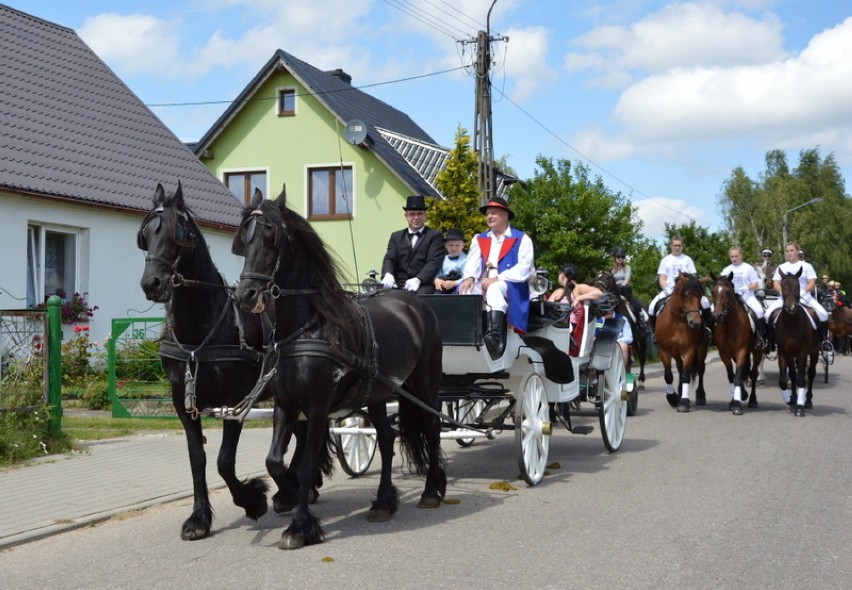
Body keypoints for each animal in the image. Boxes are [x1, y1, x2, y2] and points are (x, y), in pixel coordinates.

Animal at [138, 183, 328, 544]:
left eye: (178, 233)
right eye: (145, 234)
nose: (151, 283)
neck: (201, 331)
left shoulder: (233, 399)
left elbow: (224, 461)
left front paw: (253, 499)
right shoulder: (181, 401)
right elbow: (197, 458)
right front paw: (199, 518)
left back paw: (295, 489)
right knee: (301, 432)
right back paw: (298, 489)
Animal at [233, 191, 446, 556]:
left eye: (271, 236)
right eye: (244, 238)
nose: (245, 295)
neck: (305, 329)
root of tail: (415, 304)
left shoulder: (318, 407)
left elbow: (305, 466)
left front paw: (300, 526)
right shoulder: (285, 404)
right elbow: (274, 461)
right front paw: (289, 496)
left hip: (424, 386)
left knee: (431, 430)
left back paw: (432, 491)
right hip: (377, 394)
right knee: (386, 439)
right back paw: (383, 503)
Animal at [656, 272, 708, 412]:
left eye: (700, 296)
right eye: (686, 295)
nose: (695, 323)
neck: (677, 320)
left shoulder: (689, 350)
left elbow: (686, 375)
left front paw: (684, 402)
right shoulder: (664, 350)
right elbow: (668, 375)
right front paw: (673, 398)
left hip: (701, 348)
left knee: (700, 369)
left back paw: (700, 396)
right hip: (675, 351)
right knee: (679, 367)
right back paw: (679, 393)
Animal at [708, 274, 764, 416]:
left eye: (728, 292)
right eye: (712, 291)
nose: (717, 316)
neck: (729, 324)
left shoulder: (741, 351)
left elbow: (738, 377)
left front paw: (737, 405)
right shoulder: (724, 354)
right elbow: (732, 377)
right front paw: (734, 401)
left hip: (756, 352)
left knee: (753, 374)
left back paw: (753, 401)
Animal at [768, 270, 824, 418]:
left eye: (798, 286)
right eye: (782, 286)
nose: (791, 308)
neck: (791, 325)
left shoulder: (802, 353)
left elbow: (801, 379)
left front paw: (799, 407)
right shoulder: (784, 353)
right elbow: (785, 380)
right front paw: (790, 401)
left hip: (814, 352)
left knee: (810, 374)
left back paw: (807, 401)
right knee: (794, 375)